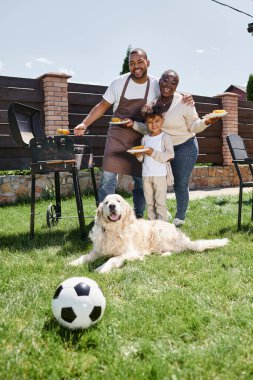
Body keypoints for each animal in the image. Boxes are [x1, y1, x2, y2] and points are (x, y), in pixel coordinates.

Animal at [70, 194, 228, 272]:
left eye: (118, 201)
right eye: (106, 202)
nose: (112, 206)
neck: (113, 231)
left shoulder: (130, 252)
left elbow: (112, 259)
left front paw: (101, 268)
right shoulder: (97, 251)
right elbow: (86, 256)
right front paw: (74, 262)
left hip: (159, 231)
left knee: (180, 249)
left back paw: (165, 254)